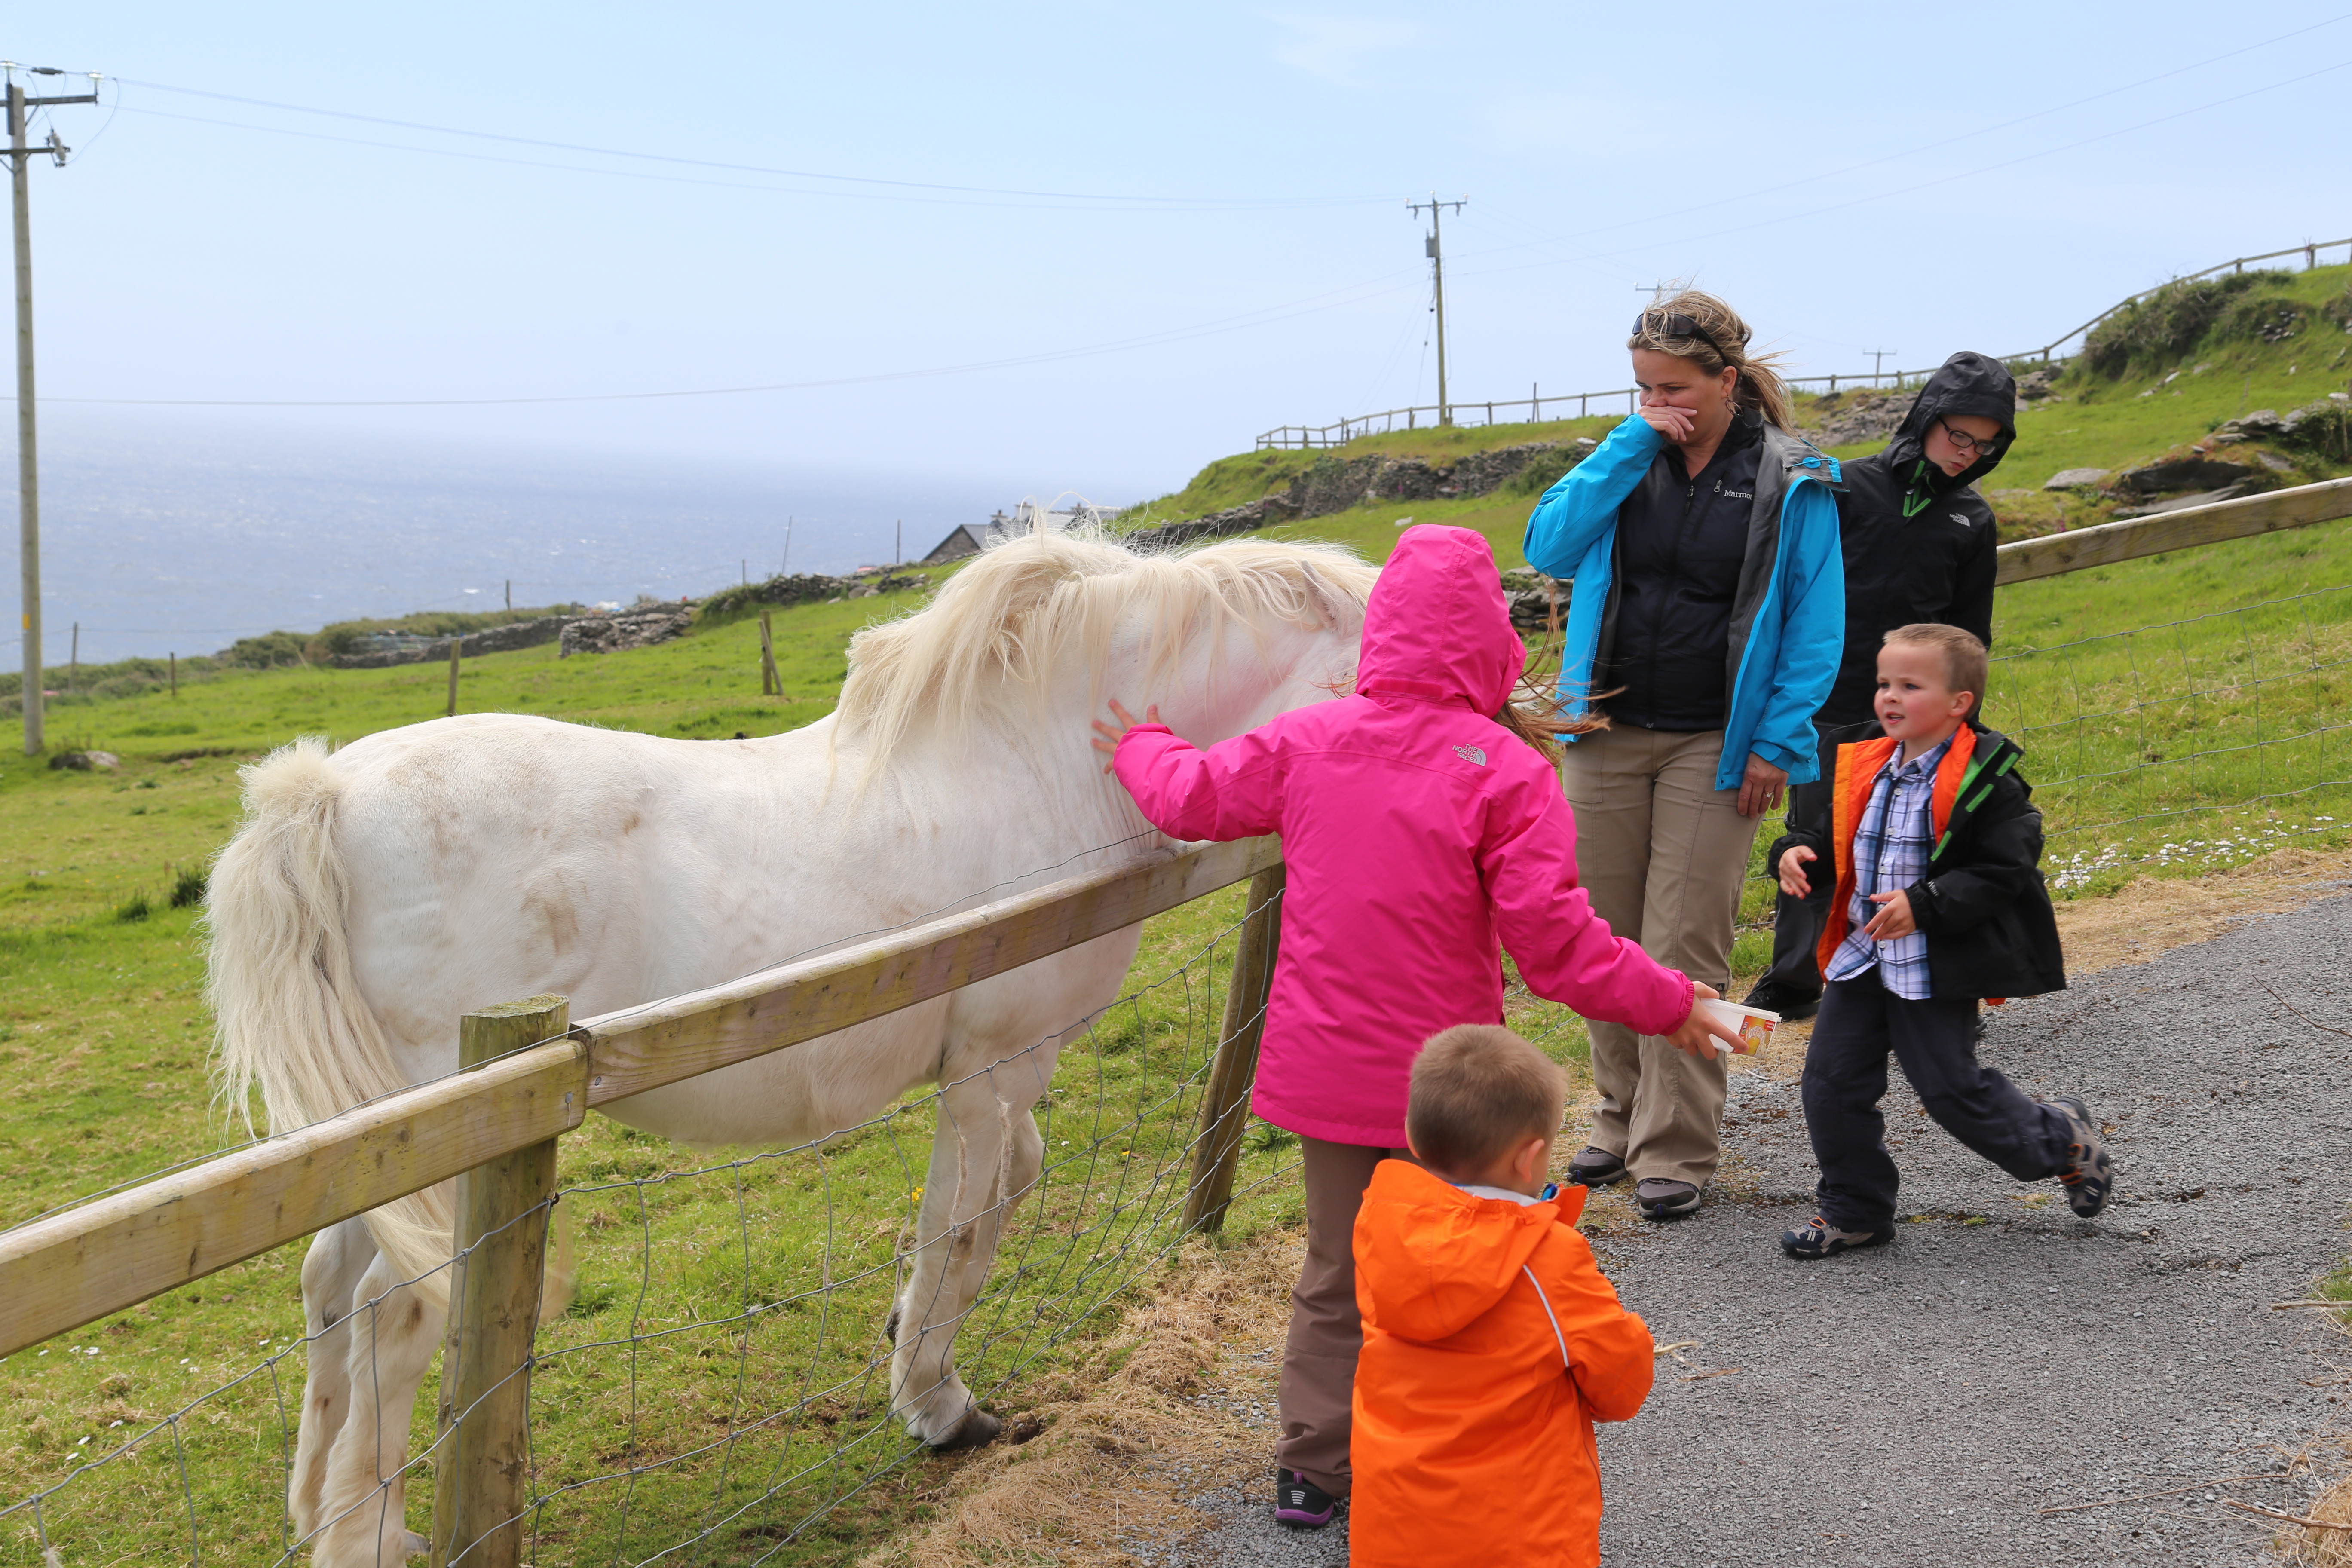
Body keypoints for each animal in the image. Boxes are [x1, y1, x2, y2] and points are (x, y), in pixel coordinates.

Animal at [207, 531, 1373, 1568]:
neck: (1038, 759)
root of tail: (325, 796)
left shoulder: (998, 1074)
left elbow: (1002, 1194)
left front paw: (906, 1341)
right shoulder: (995, 1068)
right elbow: (964, 1223)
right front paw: (938, 1405)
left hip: (376, 1143)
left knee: (330, 1289)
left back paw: (328, 1513)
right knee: (394, 1311)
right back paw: (364, 1537)